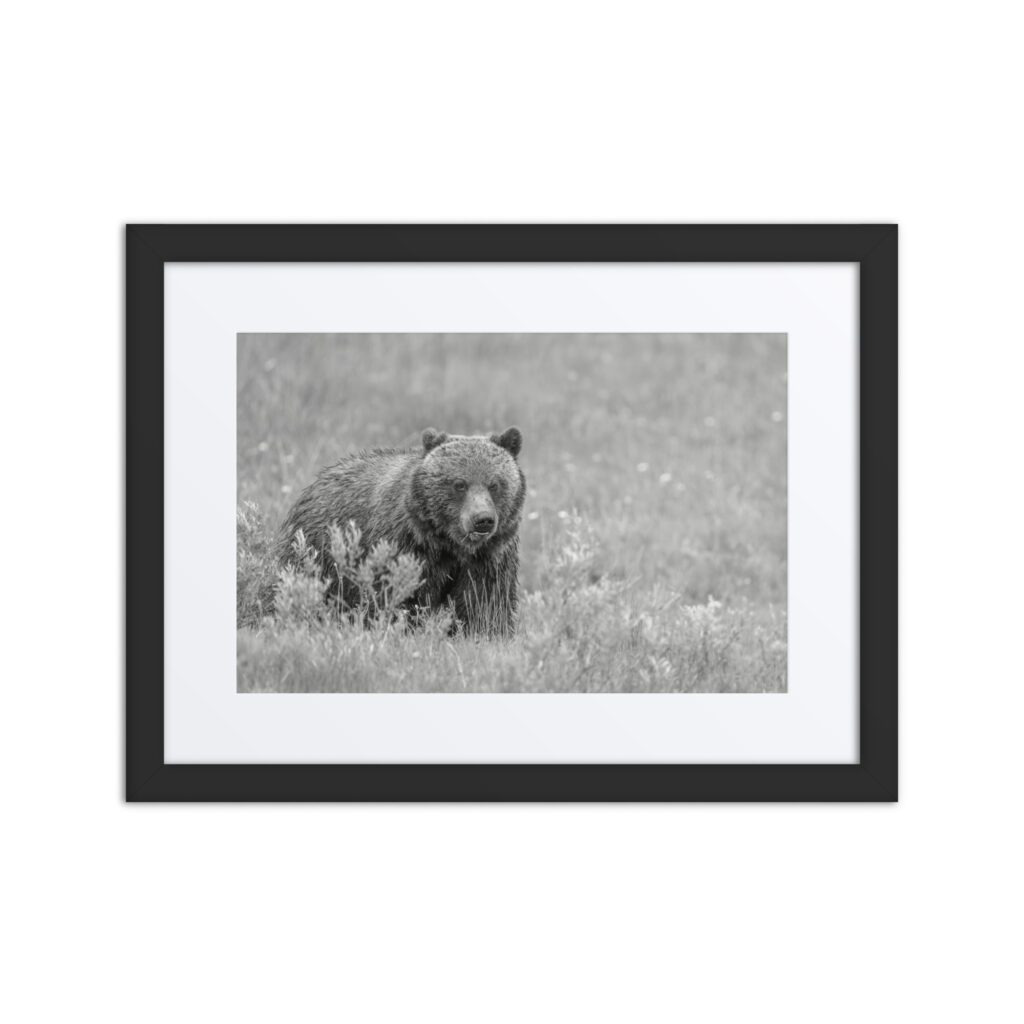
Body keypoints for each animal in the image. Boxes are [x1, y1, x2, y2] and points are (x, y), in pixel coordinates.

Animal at [276, 426, 526, 636]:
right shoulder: (404, 545)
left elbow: (484, 602)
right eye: (459, 484)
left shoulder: (489, 557)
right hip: (318, 551)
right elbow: (396, 594)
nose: (482, 520)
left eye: (494, 484)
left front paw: (485, 633)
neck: (448, 543)